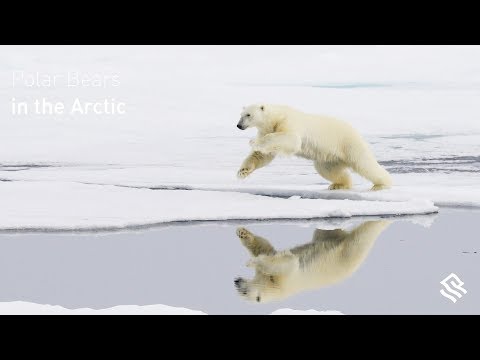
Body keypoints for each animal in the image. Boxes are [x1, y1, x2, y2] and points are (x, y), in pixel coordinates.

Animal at [234, 221, 392, 302]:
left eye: (244, 293)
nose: (236, 282)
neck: (272, 288)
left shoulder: (284, 281)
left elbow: (288, 262)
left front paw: (252, 261)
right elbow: (266, 249)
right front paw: (242, 233)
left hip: (350, 252)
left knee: (364, 234)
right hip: (328, 238)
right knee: (327, 232)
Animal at [235, 103, 390, 190]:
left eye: (248, 115)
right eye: (240, 114)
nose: (239, 125)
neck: (275, 118)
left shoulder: (288, 122)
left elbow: (292, 139)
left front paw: (253, 142)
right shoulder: (267, 128)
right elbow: (263, 155)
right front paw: (242, 172)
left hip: (348, 143)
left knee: (364, 163)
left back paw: (382, 184)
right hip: (328, 157)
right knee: (328, 170)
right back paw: (338, 185)